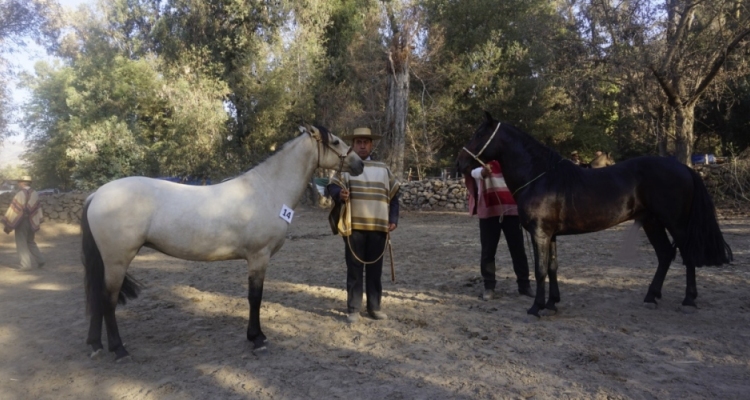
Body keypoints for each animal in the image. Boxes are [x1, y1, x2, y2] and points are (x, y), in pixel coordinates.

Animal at [81, 124, 364, 360]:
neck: (266, 190)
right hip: (117, 261)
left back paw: (95, 345)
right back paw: (118, 349)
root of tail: (97, 194)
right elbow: (255, 297)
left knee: (97, 298)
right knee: (107, 300)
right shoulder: (258, 257)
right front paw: (257, 339)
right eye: (336, 141)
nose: (360, 163)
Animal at [458, 111, 736, 316]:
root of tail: (684, 168)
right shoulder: (551, 235)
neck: (541, 176)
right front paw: (552, 303)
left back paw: (688, 300)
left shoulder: (540, 233)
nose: (460, 162)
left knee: (687, 255)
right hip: (652, 223)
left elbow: (540, 270)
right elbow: (553, 267)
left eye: (479, 134)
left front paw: (536, 307)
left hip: (675, 223)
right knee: (666, 254)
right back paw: (651, 297)